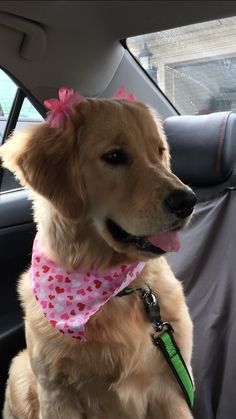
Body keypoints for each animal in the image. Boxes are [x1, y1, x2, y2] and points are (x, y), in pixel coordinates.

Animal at [0, 95, 195, 419]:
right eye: (114, 156)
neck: (115, 292)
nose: (188, 201)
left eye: (159, 151)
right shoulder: (57, 396)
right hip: (20, 371)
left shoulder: (169, 388)